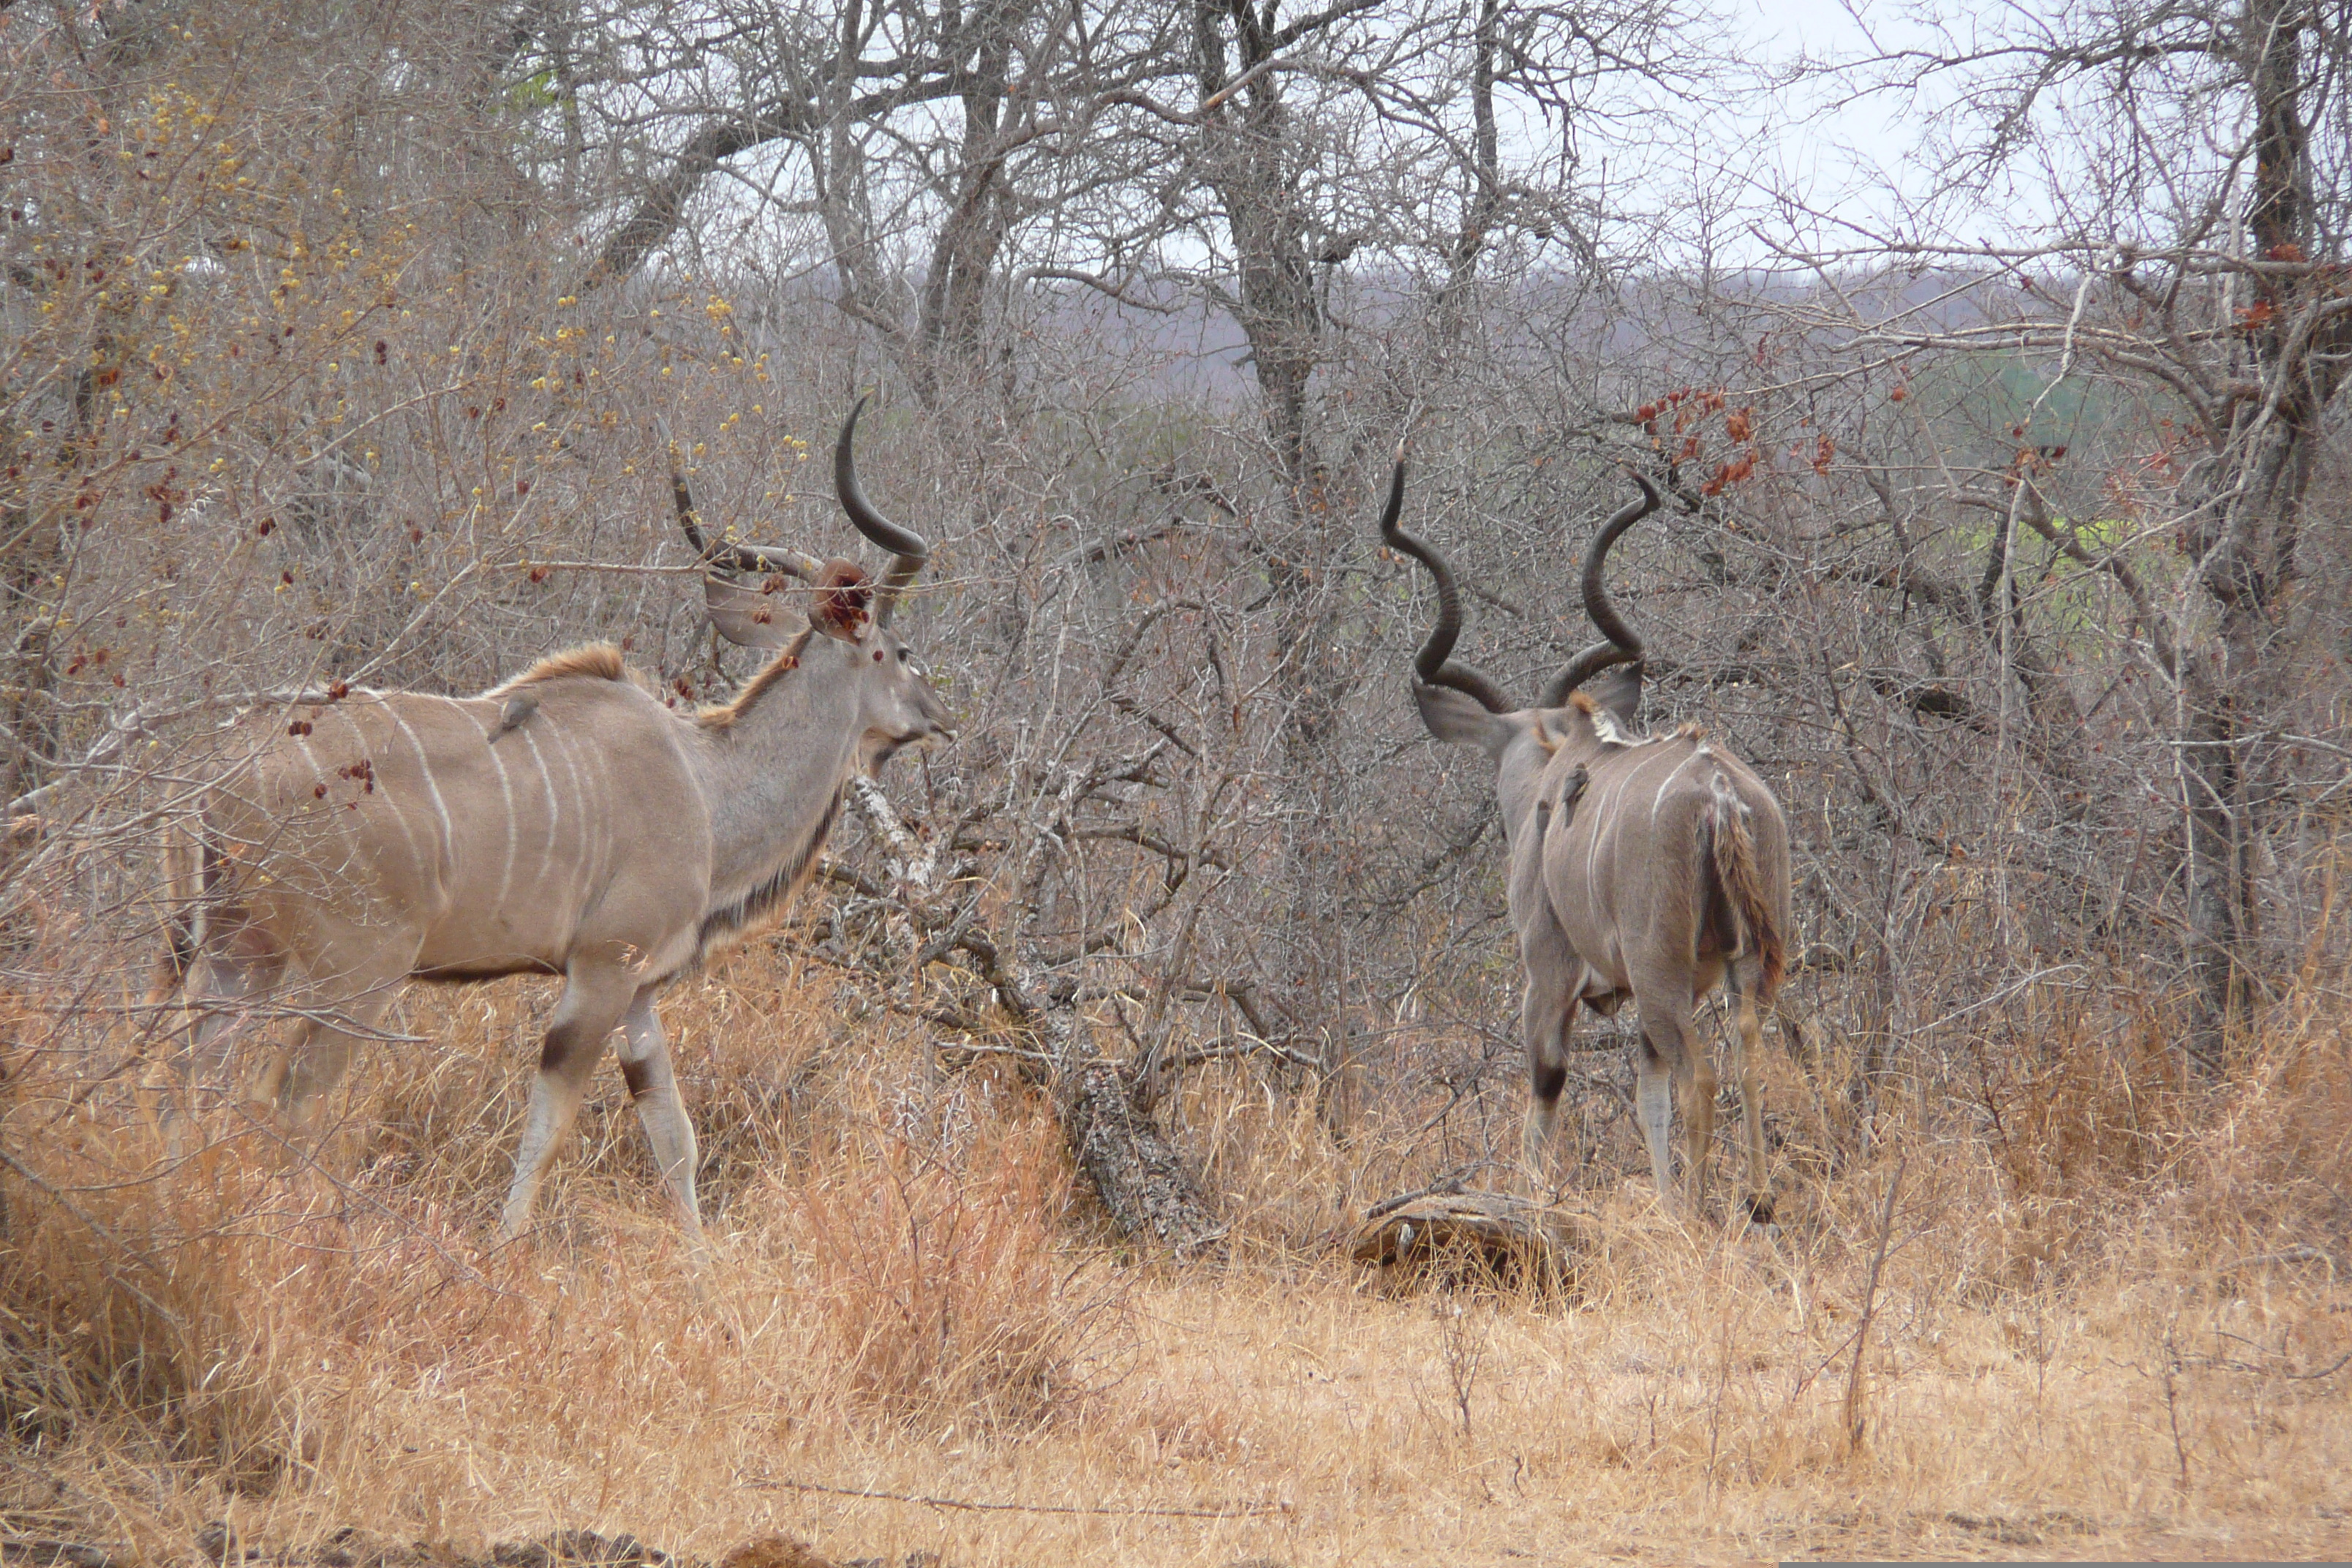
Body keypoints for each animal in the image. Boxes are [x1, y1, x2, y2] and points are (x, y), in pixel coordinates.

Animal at [161, 402, 950, 1251]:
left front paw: (703, 1266)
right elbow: (549, 1127)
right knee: (288, 1097)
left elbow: (674, 1138)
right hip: (356, 969)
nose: (941, 719)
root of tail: (211, 768)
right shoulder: (601, 970)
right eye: (901, 649)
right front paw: (506, 1251)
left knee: (190, 1077)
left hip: (240, 954)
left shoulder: (639, 991)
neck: (706, 783)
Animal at [1373, 461, 1787, 1222]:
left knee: (1702, 1078)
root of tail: (1719, 796)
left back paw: (1698, 1214)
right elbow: (1647, 1097)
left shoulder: (1548, 973)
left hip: (1663, 975)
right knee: (1747, 1060)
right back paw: (1757, 1200)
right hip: (1746, 971)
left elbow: (1547, 1084)